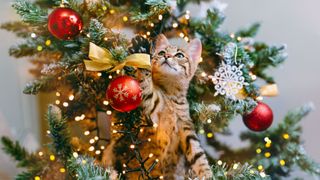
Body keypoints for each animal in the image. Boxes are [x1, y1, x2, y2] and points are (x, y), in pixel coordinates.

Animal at [102, 34, 212, 179]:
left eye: (180, 55)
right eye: (161, 53)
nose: (167, 56)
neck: (170, 95)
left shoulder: (186, 126)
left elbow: (198, 154)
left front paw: (207, 173)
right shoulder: (152, 110)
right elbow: (146, 85)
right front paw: (142, 50)